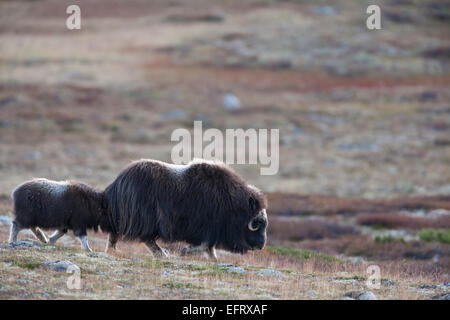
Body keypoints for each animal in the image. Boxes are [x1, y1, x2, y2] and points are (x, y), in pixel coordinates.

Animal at [102, 158, 268, 260]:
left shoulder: (212, 230)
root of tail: (118, 182)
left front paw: (214, 259)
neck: (232, 204)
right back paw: (163, 254)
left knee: (116, 232)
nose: (261, 246)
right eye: (258, 223)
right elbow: (205, 245)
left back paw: (112, 250)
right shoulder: (207, 227)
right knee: (147, 238)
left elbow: (210, 248)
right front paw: (185, 251)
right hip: (145, 219)